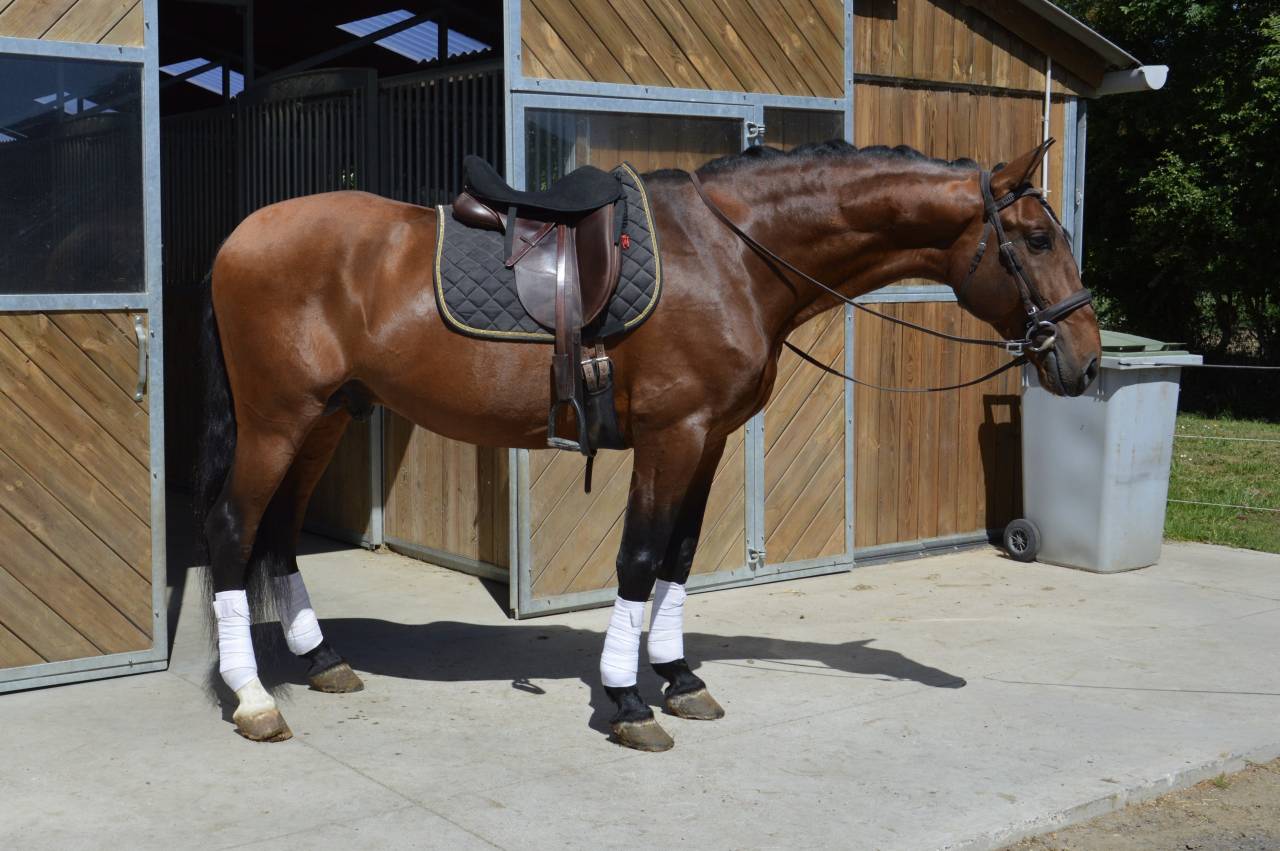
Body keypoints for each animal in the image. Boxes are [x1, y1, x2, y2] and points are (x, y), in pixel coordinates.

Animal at [195, 138, 1100, 751]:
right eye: (1038, 240)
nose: (1085, 360)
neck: (732, 253)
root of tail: (237, 239)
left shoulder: (710, 440)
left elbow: (679, 559)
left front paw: (678, 677)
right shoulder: (674, 435)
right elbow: (636, 559)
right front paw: (628, 700)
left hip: (329, 416)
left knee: (279, 537)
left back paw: (320, 661)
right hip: (278, 419)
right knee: (234, 535)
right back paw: (253, 696)